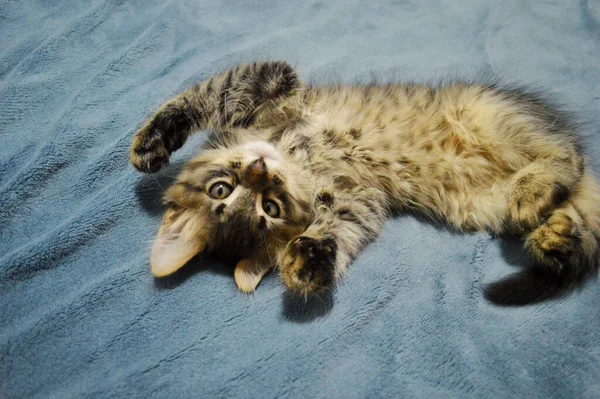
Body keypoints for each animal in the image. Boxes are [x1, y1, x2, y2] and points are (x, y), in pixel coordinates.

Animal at [129, 61, 596, 306]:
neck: (294, 158)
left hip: (491, 116)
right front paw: (308, 264)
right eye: (270, 209)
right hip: (482, 203)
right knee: (571, 213)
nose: (262, 170)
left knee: (568, 155)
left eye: (221, 188)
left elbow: (209, 91)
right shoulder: (358, 198)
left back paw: (532, 187)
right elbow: (341, 229)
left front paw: (151, 141)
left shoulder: (271, 83)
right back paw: (553, 237)